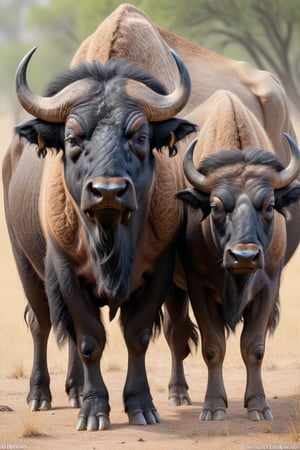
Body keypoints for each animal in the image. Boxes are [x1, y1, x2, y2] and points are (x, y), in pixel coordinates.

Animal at [2, 47, 199, 430]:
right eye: (72, 139)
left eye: (140, 136)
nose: (108, 191)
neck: (110, 238)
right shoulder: (65, 272)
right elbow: (89, 339)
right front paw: (94, 409)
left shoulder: (160, 270)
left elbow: (137, 336)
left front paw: (140, 404)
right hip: (25, 265)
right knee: (41, 323)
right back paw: (40, 394)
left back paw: (75, 390)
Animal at [176, 90, 300, 422]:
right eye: (216, 206)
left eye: (269, 205)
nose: (244, 256)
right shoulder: (198, 286)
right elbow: (212, 346)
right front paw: (213, 405)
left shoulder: (268, 284)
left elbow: (254, 347)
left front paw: (257, 404)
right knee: (174, 334)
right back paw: (178, 393)